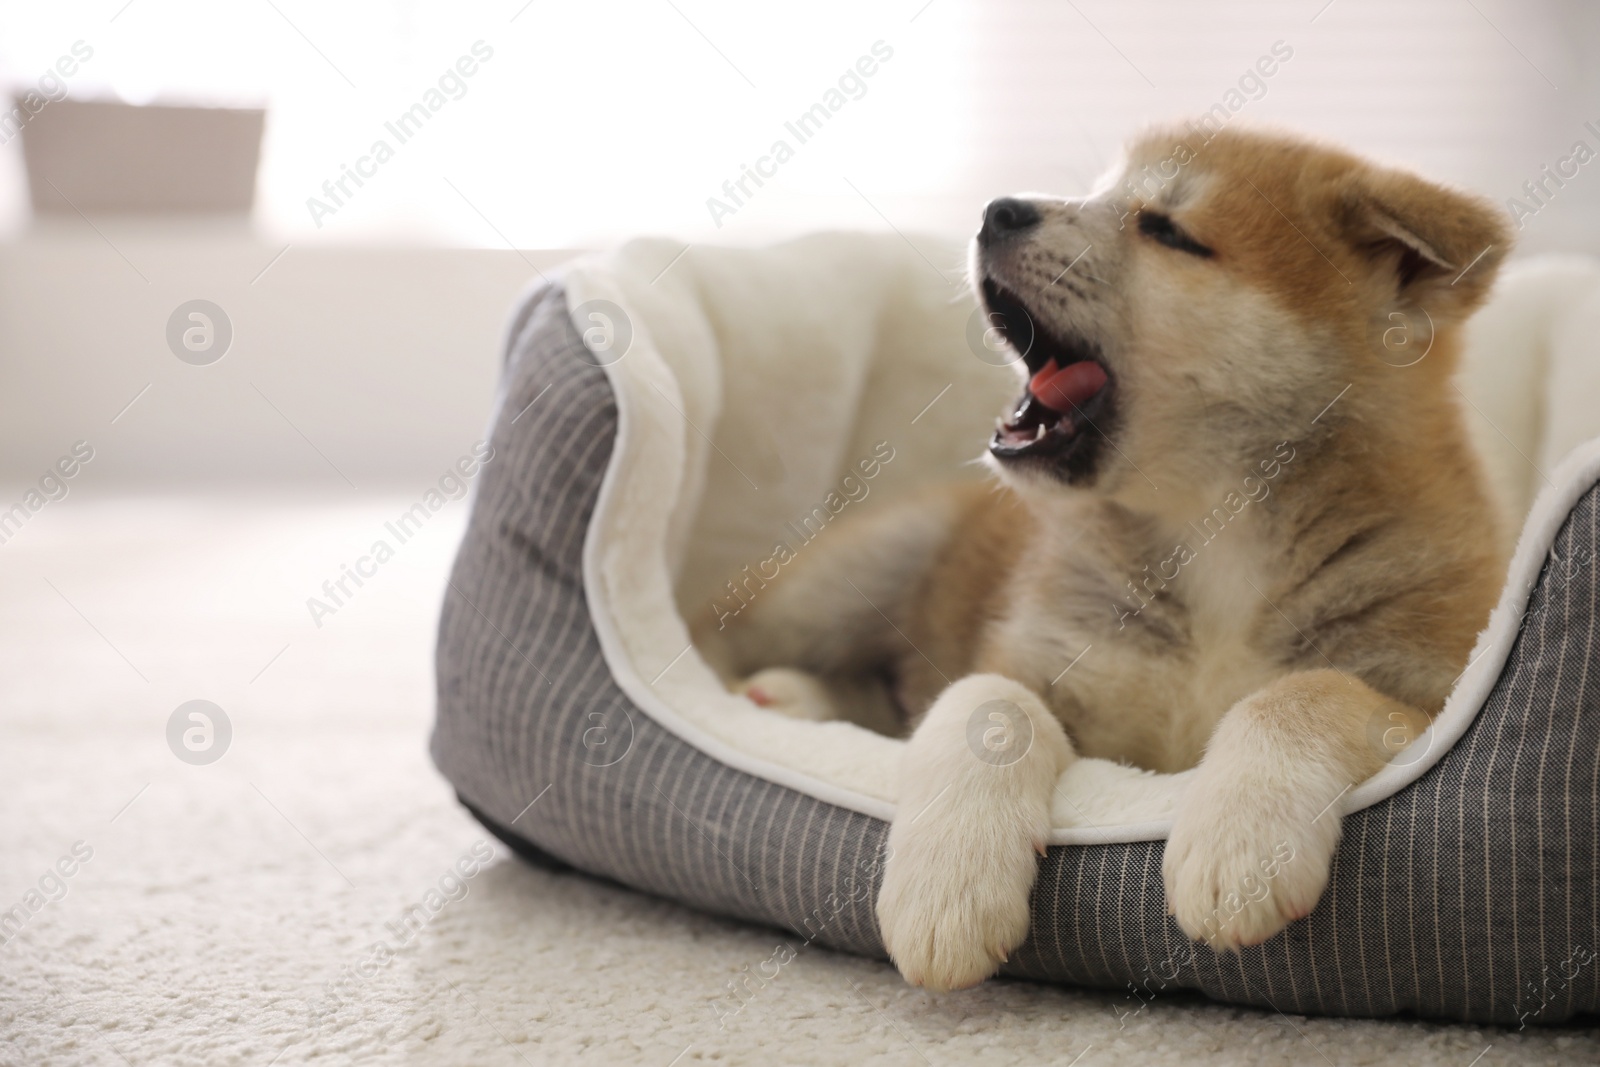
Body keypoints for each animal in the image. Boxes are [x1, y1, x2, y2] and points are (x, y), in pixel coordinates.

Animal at [700, 125, 1510, 991]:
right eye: (1099, 195)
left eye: (1167, 229)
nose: (998, 210)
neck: (1213, 535)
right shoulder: (1040, 655)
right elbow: (984, 703)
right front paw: (948, 885)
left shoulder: (1432, 689)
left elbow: (1302, 691)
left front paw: (1241, 840)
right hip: (851, 576)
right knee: (734, 635)